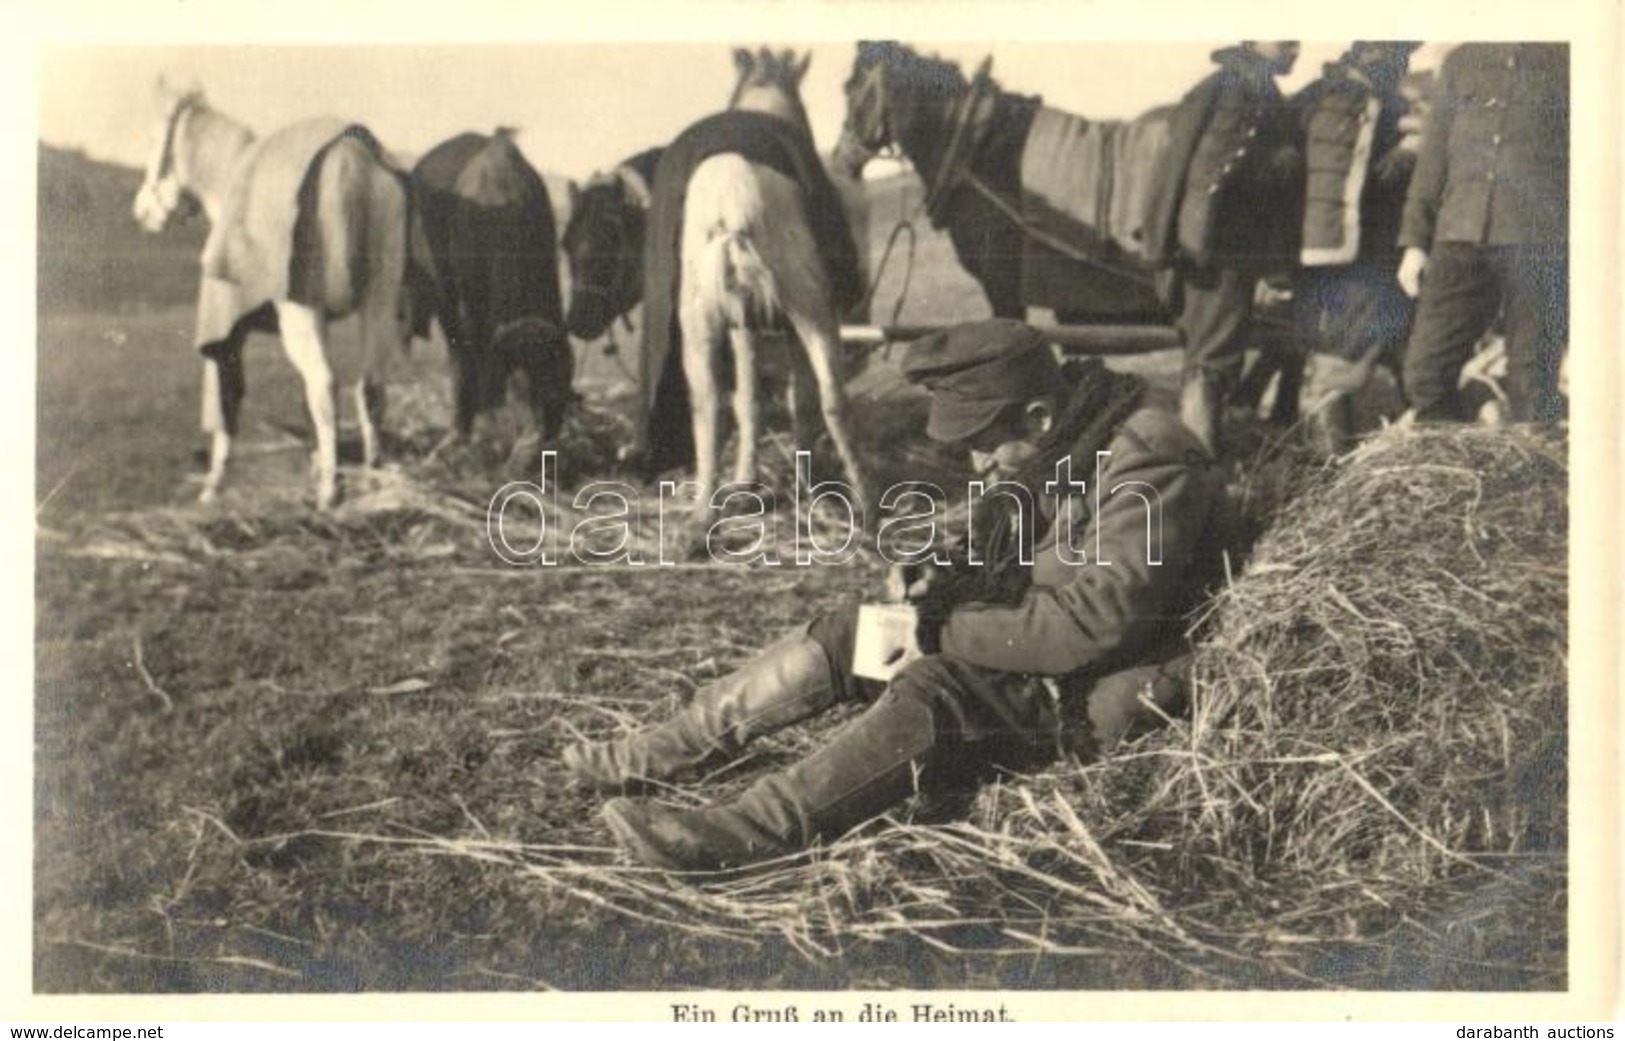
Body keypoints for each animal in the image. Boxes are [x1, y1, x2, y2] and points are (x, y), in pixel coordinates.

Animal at [133, 79, 412, 509]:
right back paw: (370, 477)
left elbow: (225, 402)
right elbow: (303, 403)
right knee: (370, 386)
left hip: (301, 314)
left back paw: (329, 492)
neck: (232, 174)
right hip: (379, 304)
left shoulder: (228, 329)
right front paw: (315, 464)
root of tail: (350, 159)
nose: (141, 212)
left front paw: (213, 486)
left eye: (152, 139)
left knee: (325, 385)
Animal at [676, 47, 877, 532]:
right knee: (831, 399)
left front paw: (744, 482)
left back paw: (700, 519)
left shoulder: (743, 322)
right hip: (812, 308)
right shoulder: (785, 321)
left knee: (708, 406)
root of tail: (732, 200)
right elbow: (796, 398)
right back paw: (861, 502)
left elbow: (748, 399)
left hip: (699, 319)